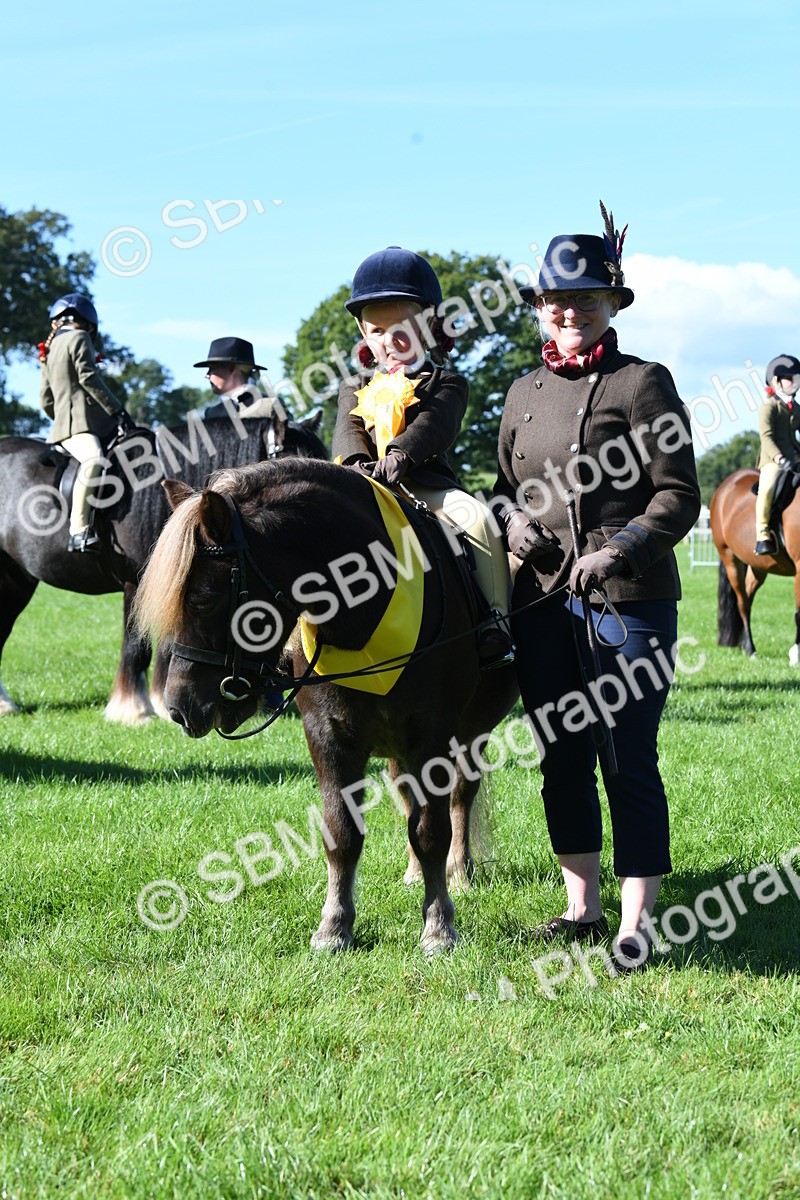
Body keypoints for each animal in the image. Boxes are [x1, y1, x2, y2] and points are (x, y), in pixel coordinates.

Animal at [134, 457, 519, 952]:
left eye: (203, 598)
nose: (179, 708)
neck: (366, 613)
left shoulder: (433, 735)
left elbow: (432, 830)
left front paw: (438, 927)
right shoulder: (327, 734)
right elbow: (341, 833)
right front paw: (334, 927)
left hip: (472, 733)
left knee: (459, 797)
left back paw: (460, 872)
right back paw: (416, 873)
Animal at [710, 467, 800, 662]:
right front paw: (796, 654)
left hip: (758, 567)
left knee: (748, 598)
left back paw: (744, 644)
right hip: (731, 560)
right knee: (742, 604)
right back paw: (750, 649)